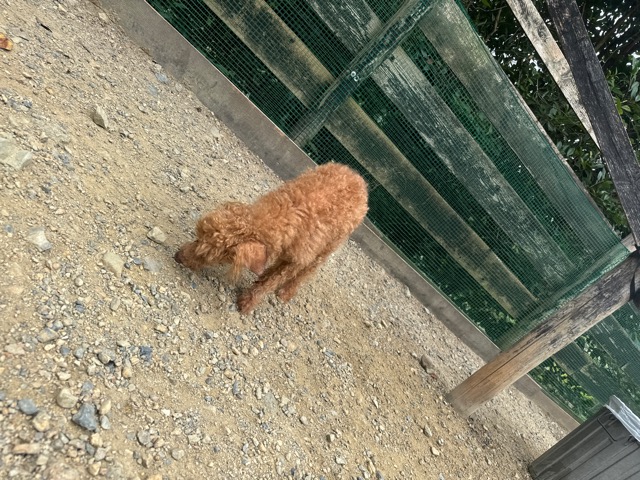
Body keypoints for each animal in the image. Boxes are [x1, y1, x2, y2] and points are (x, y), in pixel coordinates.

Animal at [174, 162, 368, 314]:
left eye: (207, 256)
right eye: (197, 238)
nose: (177, 257)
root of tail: (358, 178)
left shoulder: (297, 259)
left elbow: (273, 280)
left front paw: (247, 302)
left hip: (329, 246)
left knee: (307, 271)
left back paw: (285, 293)